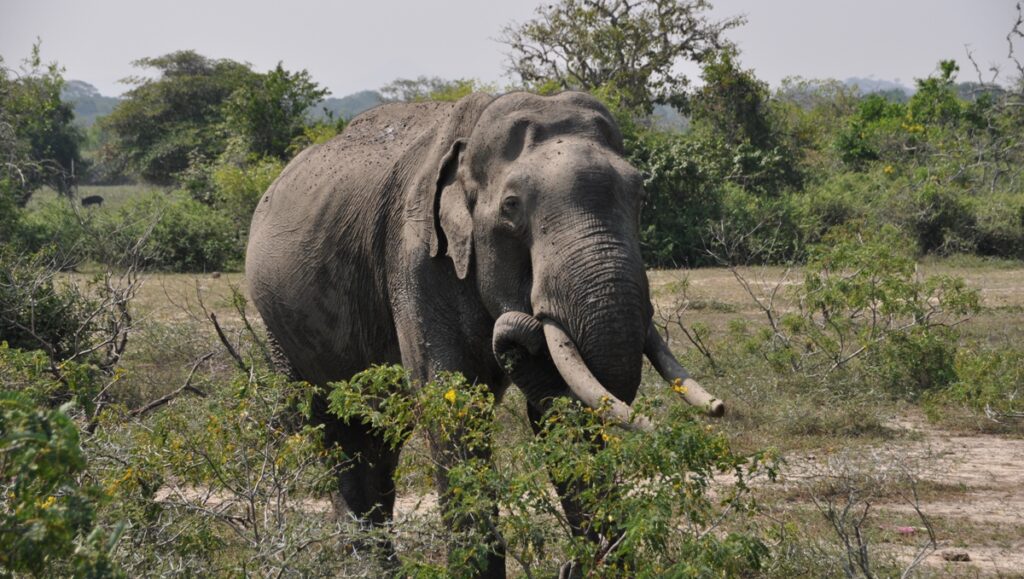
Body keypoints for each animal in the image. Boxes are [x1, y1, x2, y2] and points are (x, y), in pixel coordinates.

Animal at [243, 90, 724, 573]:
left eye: (641, 194)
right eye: (511, 206)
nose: (520, 329)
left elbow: (557, 404)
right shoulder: (415, 260)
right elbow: (450, 400)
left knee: (375, 438)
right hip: (277, 327)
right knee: (330, 428)